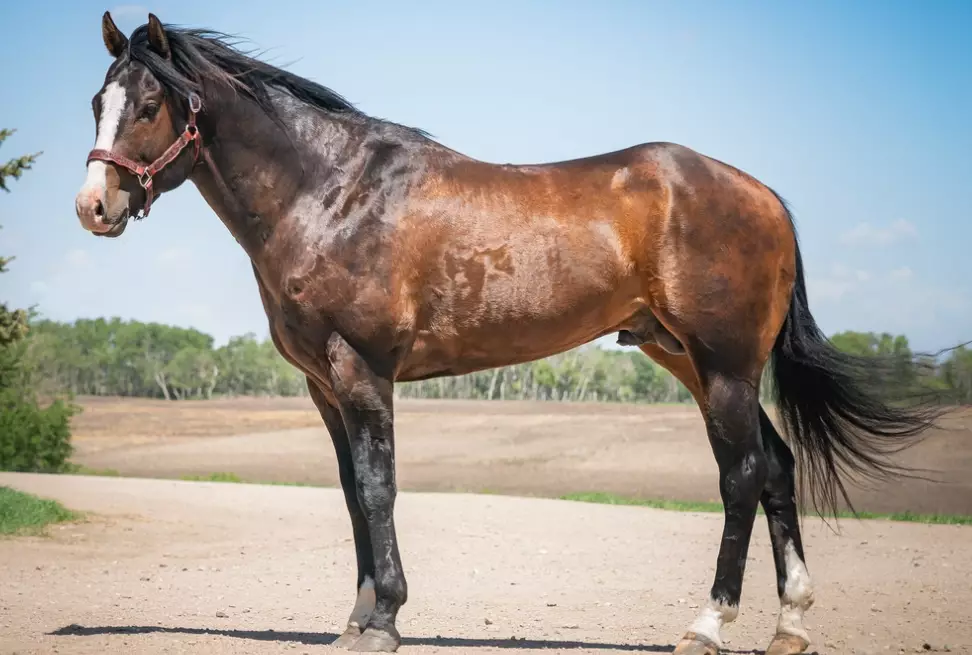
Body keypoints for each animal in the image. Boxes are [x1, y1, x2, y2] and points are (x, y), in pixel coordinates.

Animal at [75, 12, 939, 654]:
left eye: (148, 105)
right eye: (96, 102)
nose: (93, 206)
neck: (330, 192)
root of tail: (764, 196)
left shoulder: (363, 370)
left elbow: (380, 487)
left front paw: (384, 619)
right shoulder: (323, 386)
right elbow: (354, 493)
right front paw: (356, 616)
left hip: (723, 366)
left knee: (742, 475)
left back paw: (707, 623)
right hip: (689, 360)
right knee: (778, 468)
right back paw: (789, 625)